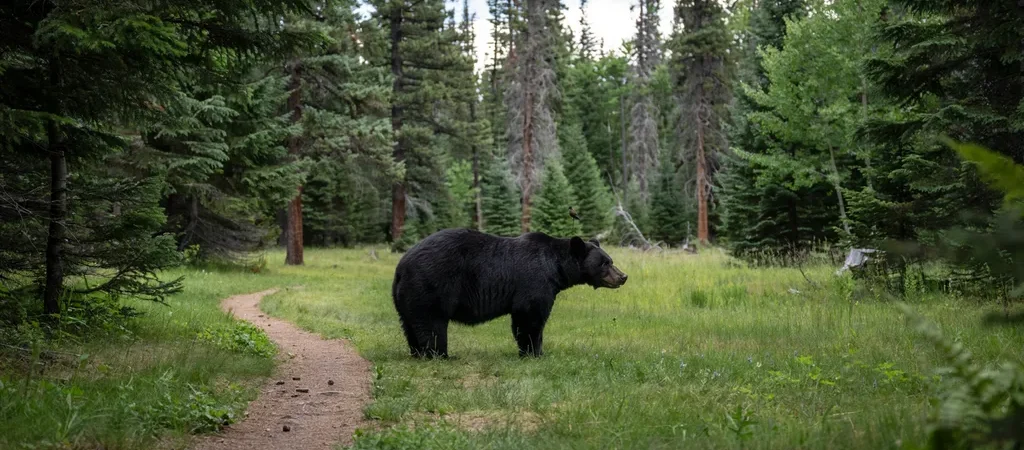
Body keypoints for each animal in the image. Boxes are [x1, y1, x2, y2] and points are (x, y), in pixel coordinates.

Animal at [391, 228, 628, 358]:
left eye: (610, 260)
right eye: (605, 263)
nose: (623, 276)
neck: (556, 268)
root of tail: (401, 266)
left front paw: (538, 351)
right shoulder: (534, 281)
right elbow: (530, 317)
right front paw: (533, 352)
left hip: (406, 296)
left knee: (410, 324)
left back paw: (418, 353)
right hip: (431, 286)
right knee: (432, 324)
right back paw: (440, 354)